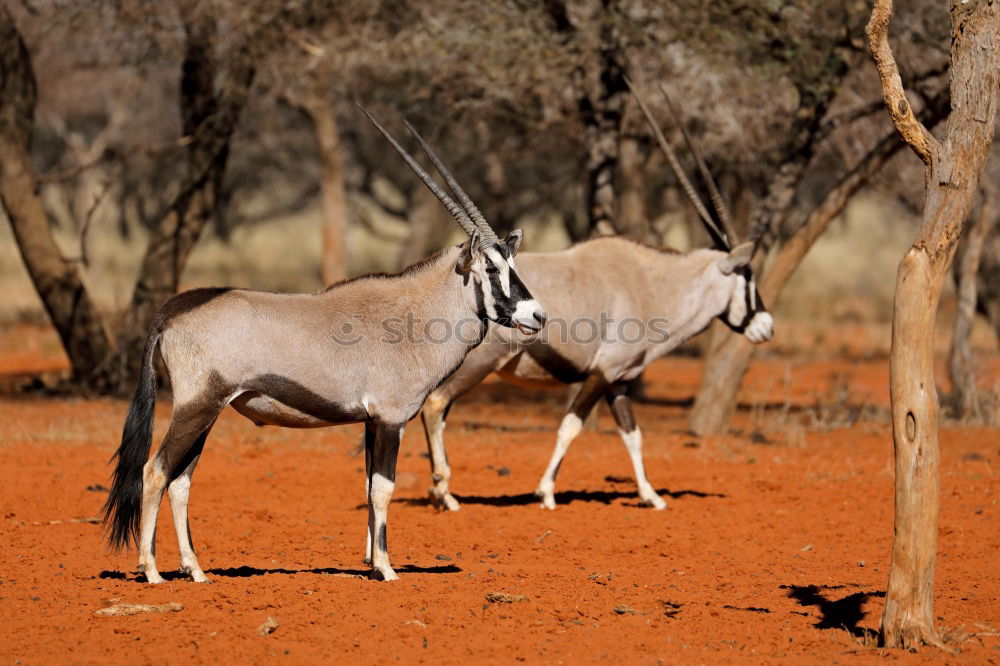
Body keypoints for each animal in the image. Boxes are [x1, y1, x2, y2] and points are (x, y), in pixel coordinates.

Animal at [101, 105, 548, 580]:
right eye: (491, 269)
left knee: (180, 480)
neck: (413, 315)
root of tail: (172, 311)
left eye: (512, 262)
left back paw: (196, 571)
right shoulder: (391, 419)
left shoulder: (371, 421)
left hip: (207, 413)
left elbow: (369, 487)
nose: (537, 316)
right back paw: (151, 570)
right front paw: (386, 569)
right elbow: (383, 489)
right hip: (197, 407)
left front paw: (370, 561)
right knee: (155, 471)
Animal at [416, 81, 772, 508]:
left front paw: (651, 497)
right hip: (479, 363)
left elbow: (632, 435)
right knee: (436, 404)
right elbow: (570, 427)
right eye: (747, 276)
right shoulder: (601, 373)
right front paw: (546, 492)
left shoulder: (619, 379)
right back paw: (444, 493)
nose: (767, 327)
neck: (651, 283)